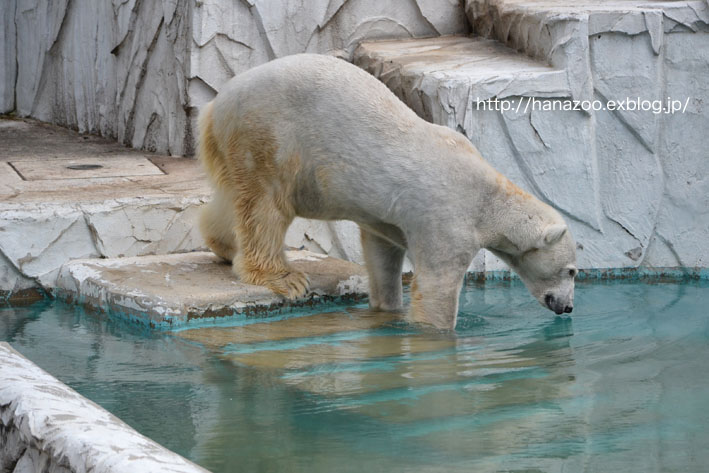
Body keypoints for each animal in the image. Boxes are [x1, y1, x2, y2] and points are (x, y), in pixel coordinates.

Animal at [195, 53, 576, 330]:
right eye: (571, 271)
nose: (568, 306)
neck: (489, 199)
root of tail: (215, 105)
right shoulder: (449, 218)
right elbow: (437, 285)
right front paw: (432, 330)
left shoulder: (389, 220)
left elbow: (383, 255)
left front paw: (386, 308)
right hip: (269, 133)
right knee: (266, 205)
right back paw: (284, 278)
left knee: (233, 197)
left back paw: (224, 245)